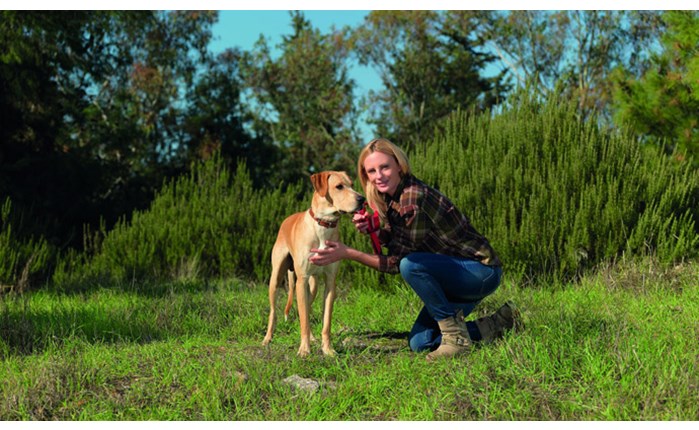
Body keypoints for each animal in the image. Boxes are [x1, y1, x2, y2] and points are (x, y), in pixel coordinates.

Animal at [262, 170, 366, 356]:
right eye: (339, 186)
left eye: (352, 184)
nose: (362, 200)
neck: (323, 226)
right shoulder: (302, 280)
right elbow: (303, 320)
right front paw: (304, 350)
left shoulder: (330, 282)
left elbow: (325, 322)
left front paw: (328, 349)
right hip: (276, 278)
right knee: (274, 311)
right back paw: (268, 338)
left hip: (313, 285)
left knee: (307, 309)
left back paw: (312, 338)